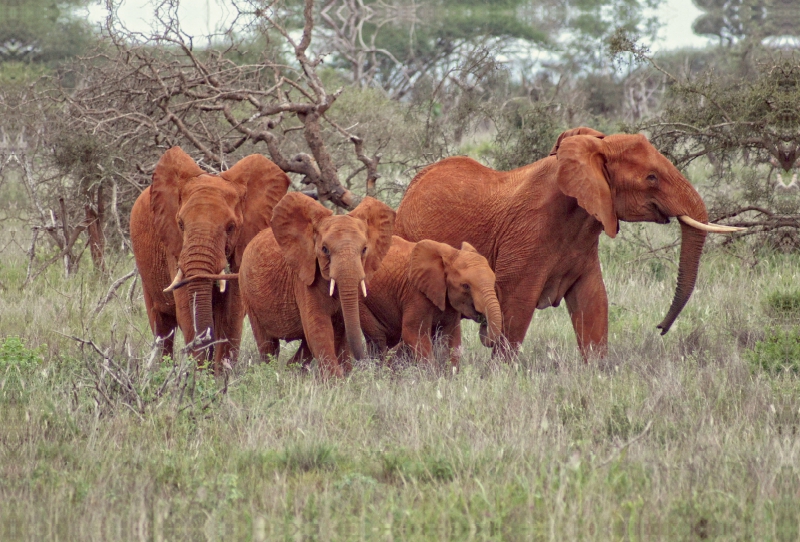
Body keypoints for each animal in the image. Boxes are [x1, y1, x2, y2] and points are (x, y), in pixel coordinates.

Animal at [131, 147, 290, 372]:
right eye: (180, 224)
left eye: (231, 227)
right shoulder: (174, 244)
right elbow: (186, 310)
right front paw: (199, 375)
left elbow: (231, 313)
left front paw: (219, 375)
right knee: (162, 326)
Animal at [241, 193, 396, 380]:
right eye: (324, 249)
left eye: (365, 249)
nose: (364, 359)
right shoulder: (303, 278)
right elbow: (319, 327)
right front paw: (336, 381)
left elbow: (340, 327)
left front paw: (347, 378)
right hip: (248, 294)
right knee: (267, 345)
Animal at [360, 236, 504, 372]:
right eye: (465, 286)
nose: (483, 319)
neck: (450, 256)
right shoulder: (415, 293)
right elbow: (415, 334)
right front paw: (433, 376)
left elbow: (450, 337)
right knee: (377, 338)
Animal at [394, 125, 744, 360]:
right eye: (652, 178)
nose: (659, 328)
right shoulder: (528, 235)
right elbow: (515, 308)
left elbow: (594, 304)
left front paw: (598, 376)